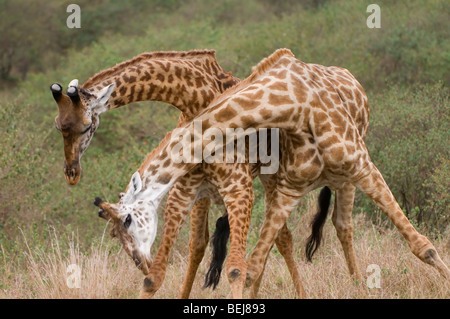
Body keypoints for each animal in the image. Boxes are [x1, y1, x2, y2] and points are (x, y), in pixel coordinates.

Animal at [95, 48, 450, 300]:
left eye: (125, 223)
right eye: (112, 234)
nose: (138, 261)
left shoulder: (359, 165)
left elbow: (423, 245)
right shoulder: (199, 188)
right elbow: (234, 264)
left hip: (344, 178)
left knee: (343, 226)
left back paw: (359, 287)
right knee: (273, 242)